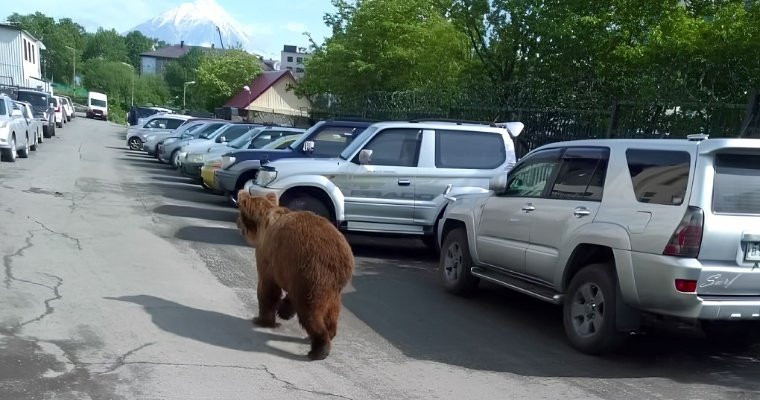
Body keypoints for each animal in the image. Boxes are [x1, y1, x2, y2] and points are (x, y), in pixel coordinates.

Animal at [236, 189, 354, 360]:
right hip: (333, 284)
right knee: (332, 310)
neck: (263, 225)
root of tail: (342, 256)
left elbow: (268, 289)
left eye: (239, 212)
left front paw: (262, 319)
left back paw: (318, 349)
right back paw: (329, 333)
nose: (237, 222)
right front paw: (283, 310)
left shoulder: (270, 257)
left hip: (314, 272)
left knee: (310, 310)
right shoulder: (290, 271)